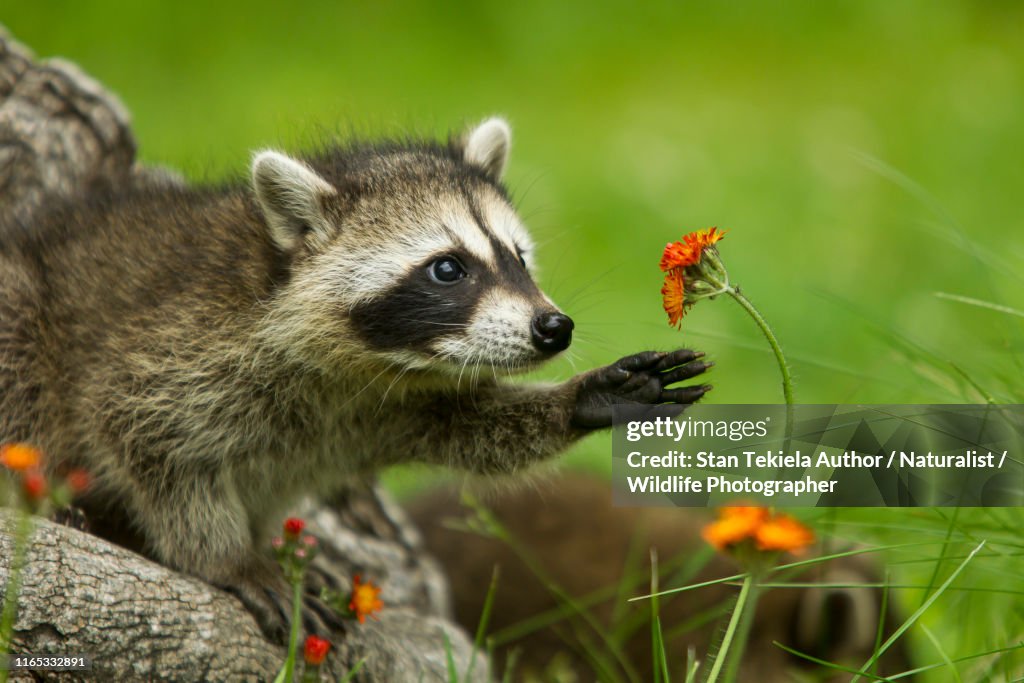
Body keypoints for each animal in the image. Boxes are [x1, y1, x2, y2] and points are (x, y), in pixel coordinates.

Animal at [0, 118, 713, 640]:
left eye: (517, 257)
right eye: (448, 269)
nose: (553, 329)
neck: (365, 364)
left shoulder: (389, 403)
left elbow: (470, 429)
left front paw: (586, 399)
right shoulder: (176, 349)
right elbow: (144, 436)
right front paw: (227, 556)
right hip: (24, 310)